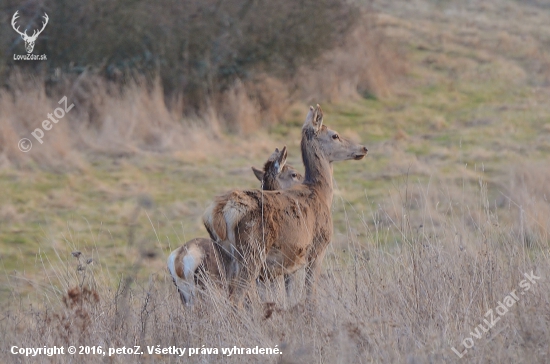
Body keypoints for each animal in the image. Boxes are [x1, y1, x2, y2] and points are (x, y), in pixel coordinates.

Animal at [203, 105, 366, 308]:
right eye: (334, 135)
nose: (363, 148)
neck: (321, 194)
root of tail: (218, 211)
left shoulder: (289, 264)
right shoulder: (317, 249)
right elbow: (309, 294)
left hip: (223, 256)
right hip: (252, 252)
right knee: (237, 298)